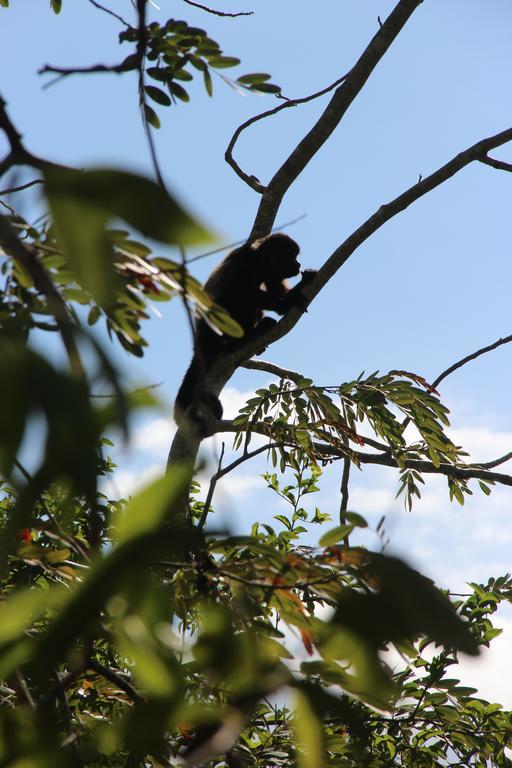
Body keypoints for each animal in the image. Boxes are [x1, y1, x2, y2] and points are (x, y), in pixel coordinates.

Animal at [174, 234, 314, 426]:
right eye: (292, 255)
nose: (298, 264)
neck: (260, 263)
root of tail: (200, 342)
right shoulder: (245, 263)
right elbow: (239, 293)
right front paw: (287, 303)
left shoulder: (271, 274)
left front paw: (302, 284)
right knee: (241, 303)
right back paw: (244, 338)